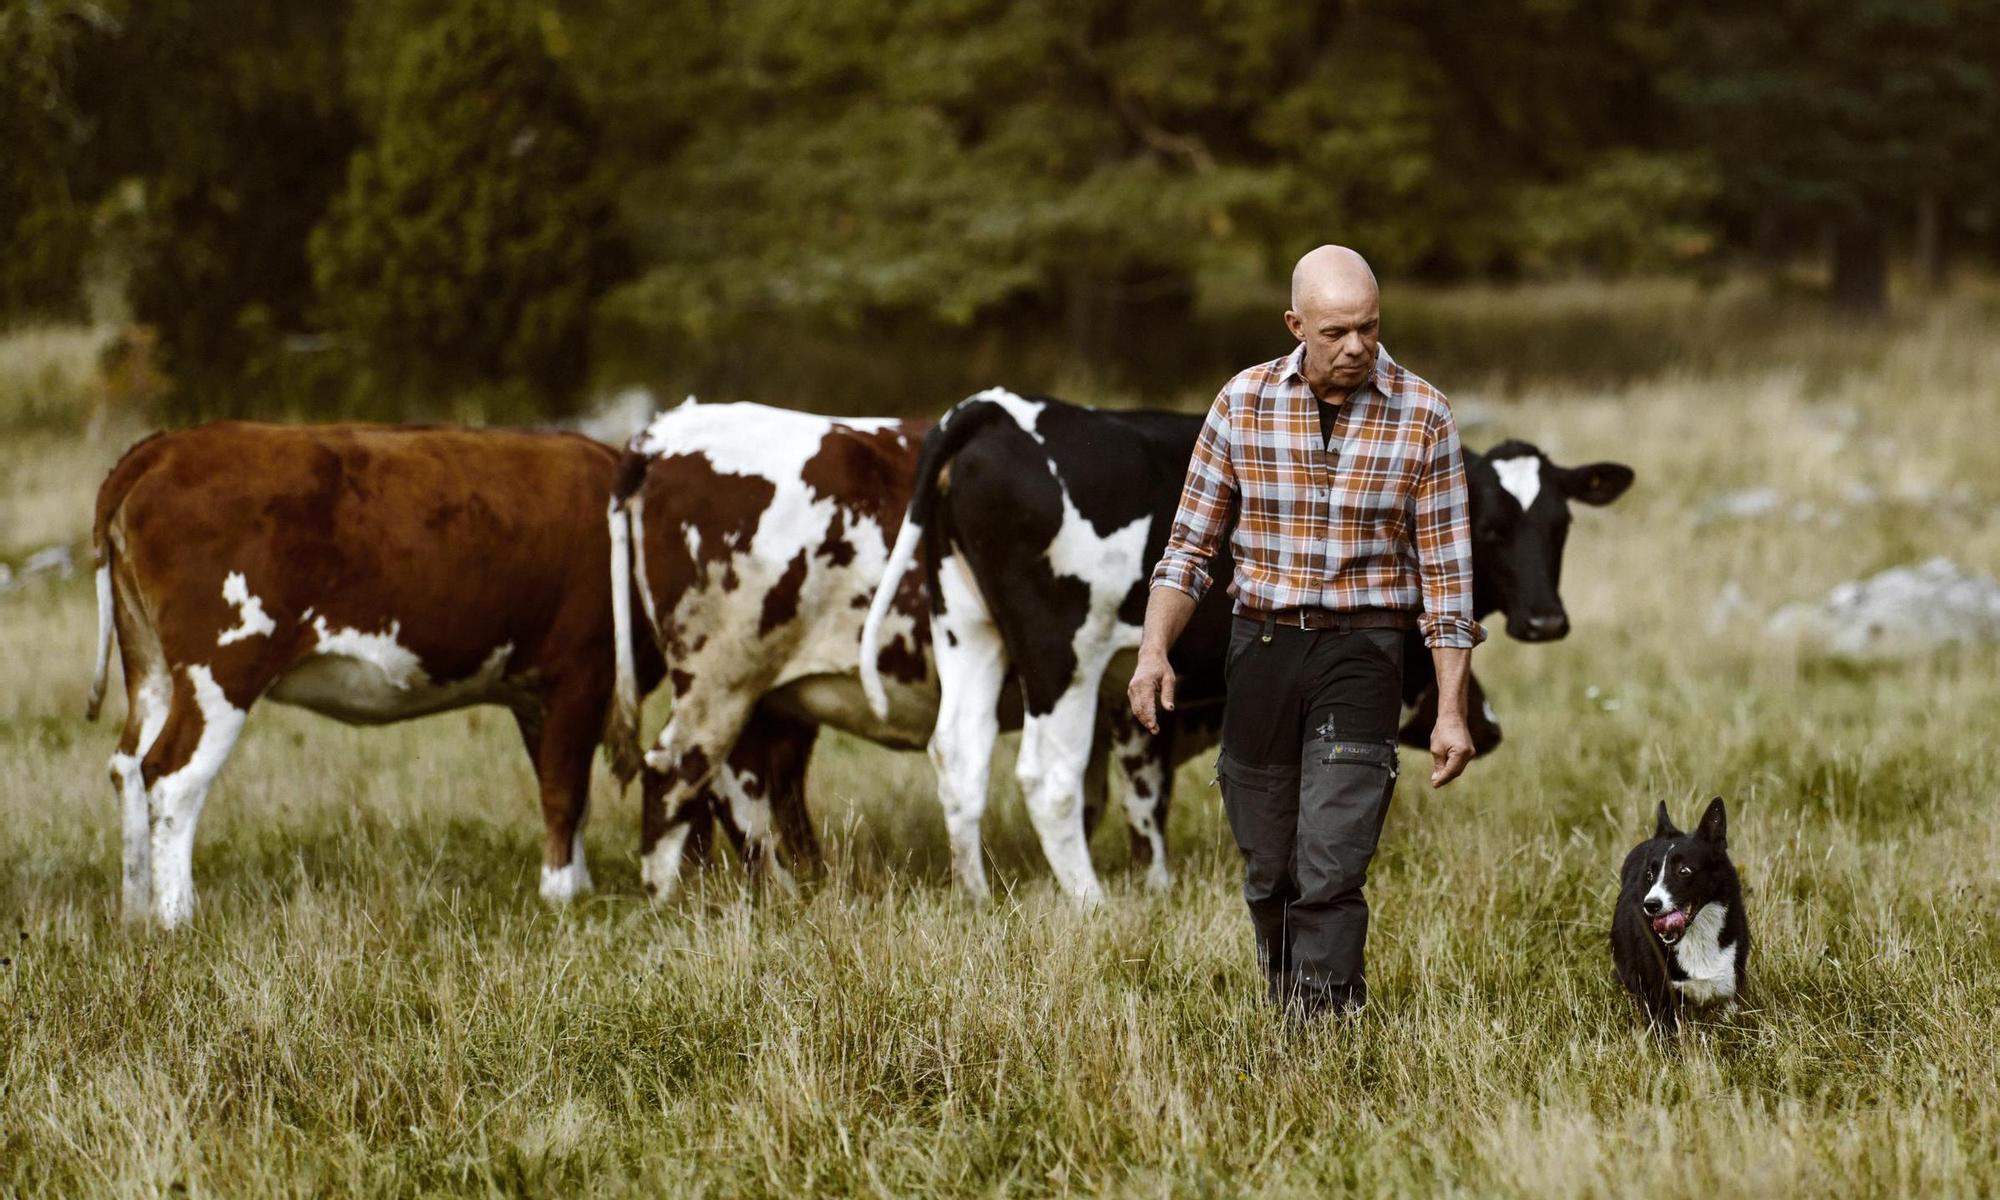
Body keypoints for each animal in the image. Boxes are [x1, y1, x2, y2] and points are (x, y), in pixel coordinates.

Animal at [86, 422, 792, 928]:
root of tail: (165, 447)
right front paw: (563, 897)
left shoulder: (536, 692)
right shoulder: (580, 673)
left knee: (127, 766)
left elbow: (567, 792)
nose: (788, 878)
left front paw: (576, 881)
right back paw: (176, 917)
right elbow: (564, 793)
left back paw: (134, 910)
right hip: (223, 665)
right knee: (172, 776)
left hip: (152, 666)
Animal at [856, 390, 1624, 904]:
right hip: (1060, 653)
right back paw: (1089, 903)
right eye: (1489, 528)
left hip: (970, 632)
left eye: (1559, 526)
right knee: (1047, 778)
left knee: (960, 758)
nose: (1545, 620)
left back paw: (977, 895)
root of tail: (994, 408)